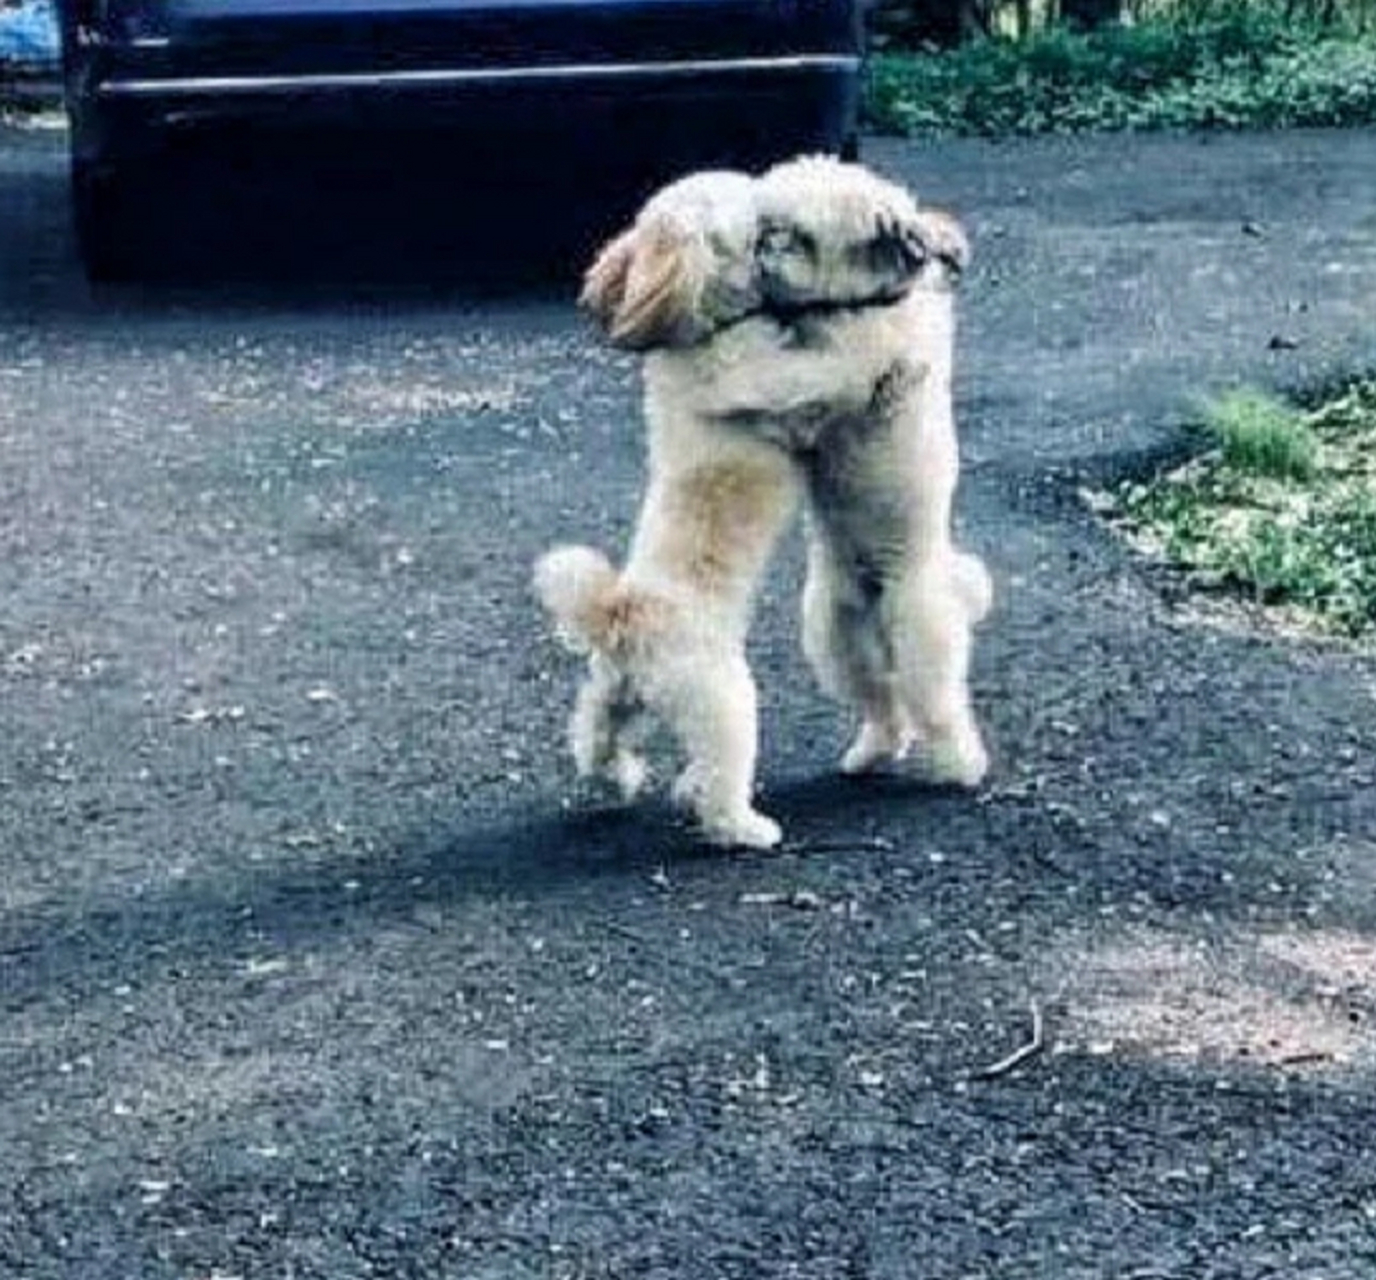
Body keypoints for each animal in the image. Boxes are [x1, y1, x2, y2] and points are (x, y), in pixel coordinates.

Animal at [531, 156, 996, 847]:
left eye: (788, 235)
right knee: (897, 713)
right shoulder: (788, 373)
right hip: (772, 675)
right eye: (761, 228)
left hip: (829, 645)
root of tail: (624, 618)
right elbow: (819, 370)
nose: (768, 254)